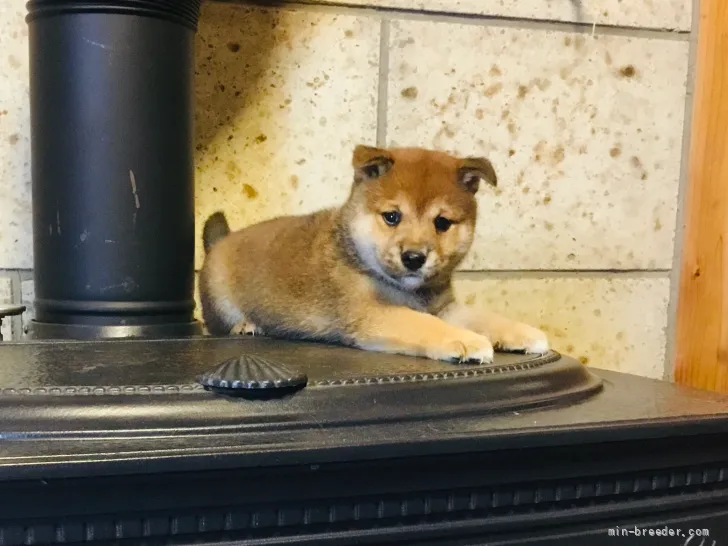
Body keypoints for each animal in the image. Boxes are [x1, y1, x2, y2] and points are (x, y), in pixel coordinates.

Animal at [196, 144, 548, 362]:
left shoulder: (445, 308)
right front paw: (466, 340)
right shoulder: (372, 313)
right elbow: (422, 324)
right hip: (220, 300)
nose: (414, 258)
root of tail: (222, 241)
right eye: (392, 216)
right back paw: (245, 325)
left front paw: (524, 332)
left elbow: (484, 317)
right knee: (218, 325)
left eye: (442, 222)